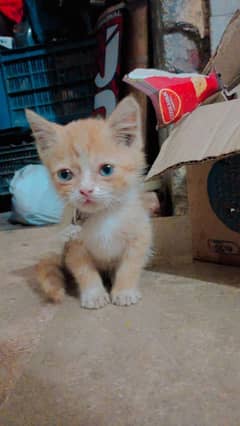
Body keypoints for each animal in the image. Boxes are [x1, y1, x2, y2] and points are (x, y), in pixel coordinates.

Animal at [25, 96, 150, 310]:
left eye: (106, 169)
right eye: (65, 174)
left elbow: (130, 265)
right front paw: (94, 294)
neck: (103, 215)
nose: (85, 190)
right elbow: (84, 270)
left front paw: (124, 291)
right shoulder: (73, 246)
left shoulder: (140, 234)